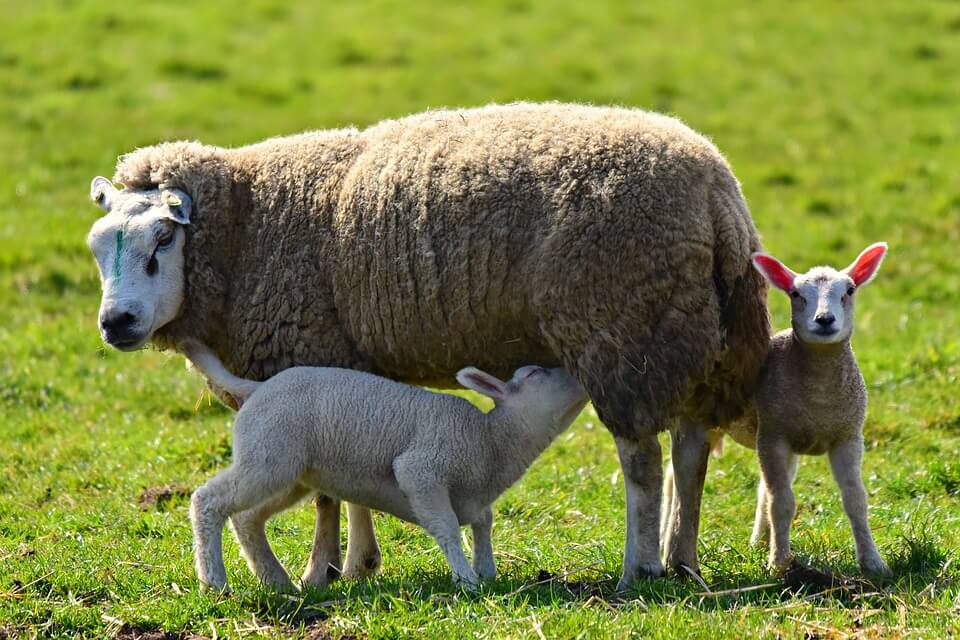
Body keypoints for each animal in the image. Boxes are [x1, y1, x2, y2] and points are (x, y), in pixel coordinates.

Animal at [179, 340, 584, 592]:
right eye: (534, 374)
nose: (575, 371)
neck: (491, 440)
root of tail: (255, 388)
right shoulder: (422, 469)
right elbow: (447, 527)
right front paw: (467, 580)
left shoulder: (474, 495)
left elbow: (484, 521)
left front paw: (485, 570)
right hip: (269, 454)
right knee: (208, 501)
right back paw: (214, 581)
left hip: (290, 470)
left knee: (247, 517)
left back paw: (277, 582)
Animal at [660, 244, 892, 576]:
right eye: (796, 294)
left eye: (849, 290)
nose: (824, 319)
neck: (819, 395)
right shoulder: (773, 435)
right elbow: (781, 502)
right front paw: (780, 564)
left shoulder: (847, 437)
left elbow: (855, 500)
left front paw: (873, 562)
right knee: (673, 477)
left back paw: (759, 541)